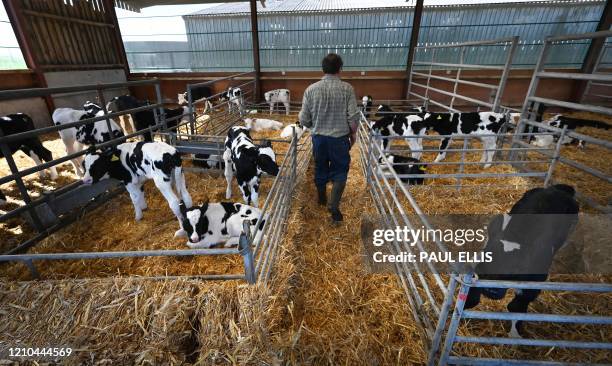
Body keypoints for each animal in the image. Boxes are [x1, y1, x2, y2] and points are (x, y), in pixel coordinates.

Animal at [464, 184, 580, 338]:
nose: (491, 290)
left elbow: (516, 307)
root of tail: (559, 189)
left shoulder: (534, 282)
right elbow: (471, 298)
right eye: (487, 257)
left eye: (518, 267)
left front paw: (515, 334)